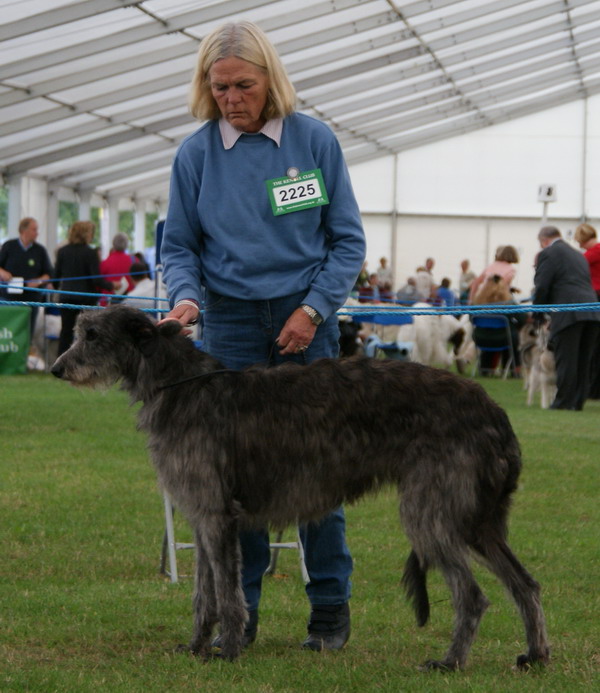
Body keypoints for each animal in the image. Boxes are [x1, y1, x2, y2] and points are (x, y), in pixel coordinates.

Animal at [51, 304, 548, 672]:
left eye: (92, 335)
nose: (56, 369)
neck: (181, 384)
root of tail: (494, 411)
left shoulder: (216, 513)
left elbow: (227, 593)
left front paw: (228, 650)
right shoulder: (201, 513)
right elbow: (203, 593)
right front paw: (196, 645)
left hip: (431, 510)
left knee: (473, 595)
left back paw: (450, 661)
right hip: (478, 519)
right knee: (525, 584)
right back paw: (536, 654)